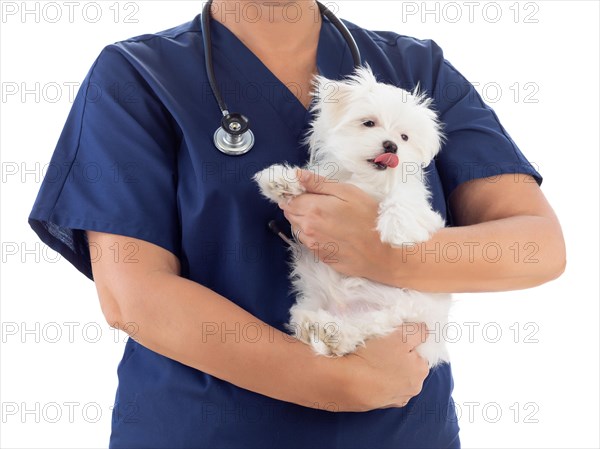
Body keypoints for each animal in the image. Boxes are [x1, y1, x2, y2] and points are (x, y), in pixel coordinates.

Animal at [252, 66, 450, 368]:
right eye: (369, 123)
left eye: (404, 138)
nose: (391, 146)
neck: (364, 180)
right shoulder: (328, 181)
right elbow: (308, 180)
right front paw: (280, 180)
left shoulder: (417, 204)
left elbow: (403, 198)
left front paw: (397, 229)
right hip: (315, 294)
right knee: (308, 316)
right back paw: (313, 325)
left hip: (402, 312)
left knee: (368, 327)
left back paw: (335, 334)